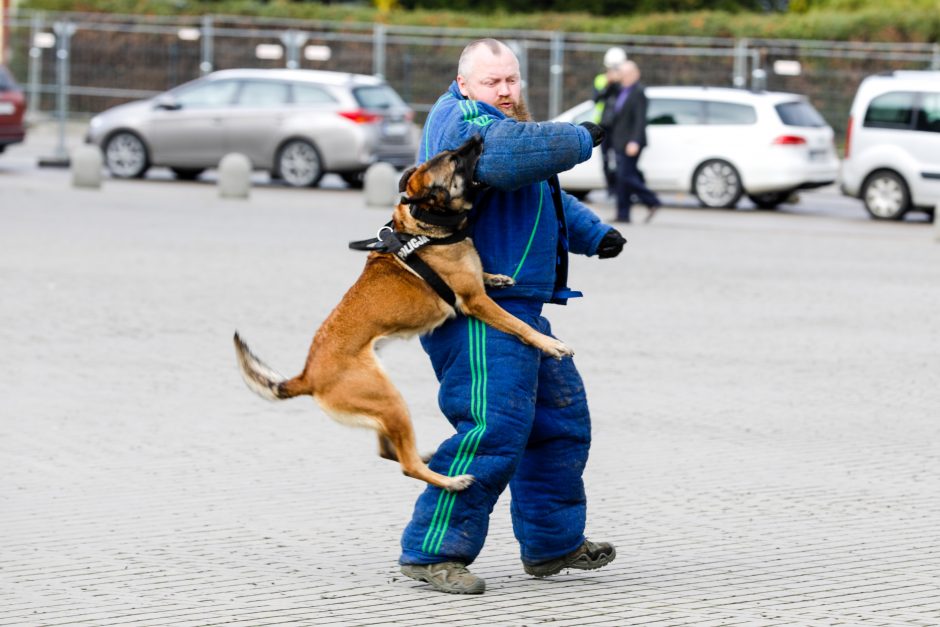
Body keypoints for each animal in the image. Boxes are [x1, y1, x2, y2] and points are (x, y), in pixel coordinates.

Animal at [235, 135, 572, 494]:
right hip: (390, 400)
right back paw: (450, 480)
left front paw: (496, 277)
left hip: (384, 407)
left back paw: (427, 456)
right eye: (455, 160)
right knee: (406, 465)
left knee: (389, 451)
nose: (477, 138)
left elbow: (484, 276)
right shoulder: (476, 301)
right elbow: (519, 325)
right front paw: (550, 344)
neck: (426, 224)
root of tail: (306, 376)